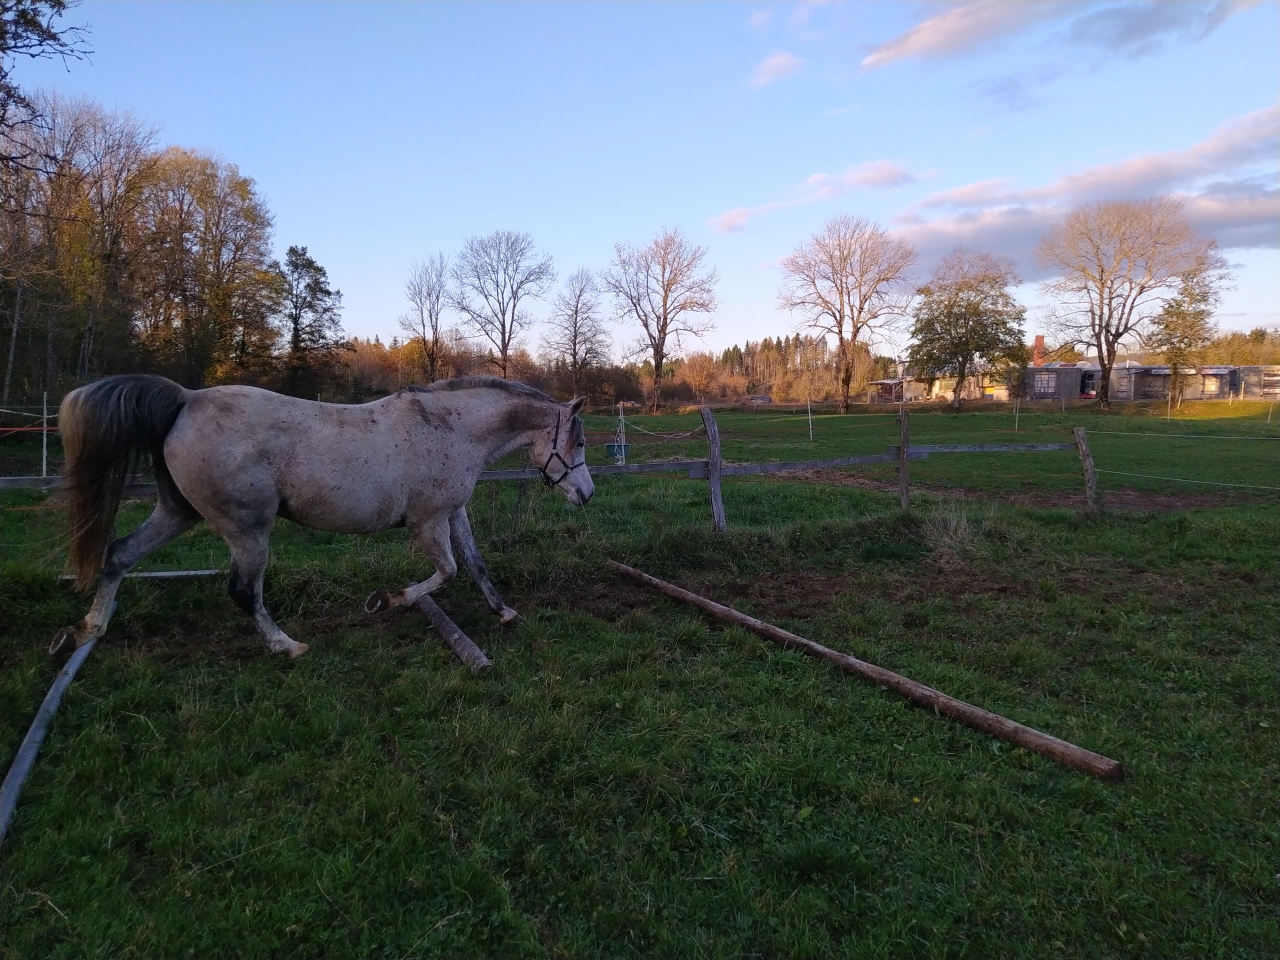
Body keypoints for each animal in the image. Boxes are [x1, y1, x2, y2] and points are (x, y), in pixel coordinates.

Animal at [53, 374, 593, 658]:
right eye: (579, 442)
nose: (587, 494)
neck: (451, 428)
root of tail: (185, 400)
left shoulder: (452, 512)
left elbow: (476, 567)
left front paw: (504, 612)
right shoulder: (426, 522)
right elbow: (447, 572)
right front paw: (387, 600)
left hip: (178, 512)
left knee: (119, 555)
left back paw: (90, 627)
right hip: (248, 529)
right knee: (243, 591)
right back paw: (286, 646)